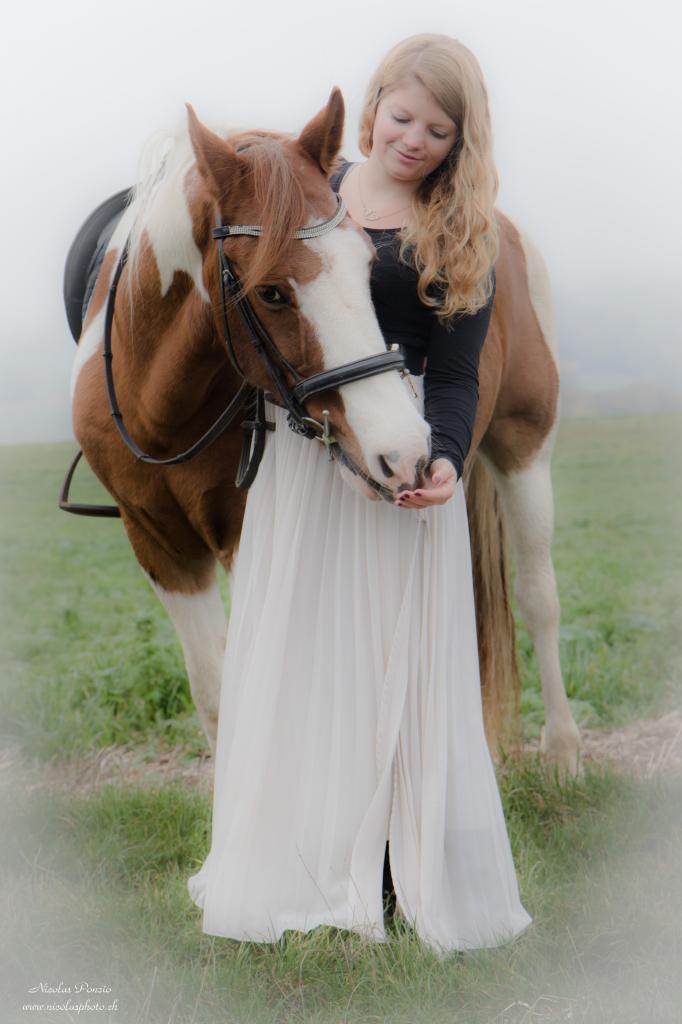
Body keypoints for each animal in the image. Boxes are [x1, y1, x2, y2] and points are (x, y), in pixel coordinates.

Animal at [65, 90, 577, 774]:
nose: (405, 452)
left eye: (368, 265)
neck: (161, 412)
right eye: (271, 293)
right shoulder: (159, 546)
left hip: (525, 448)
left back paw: (564, 750)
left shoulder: (248, 537)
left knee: (539, 597)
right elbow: (219, 697)